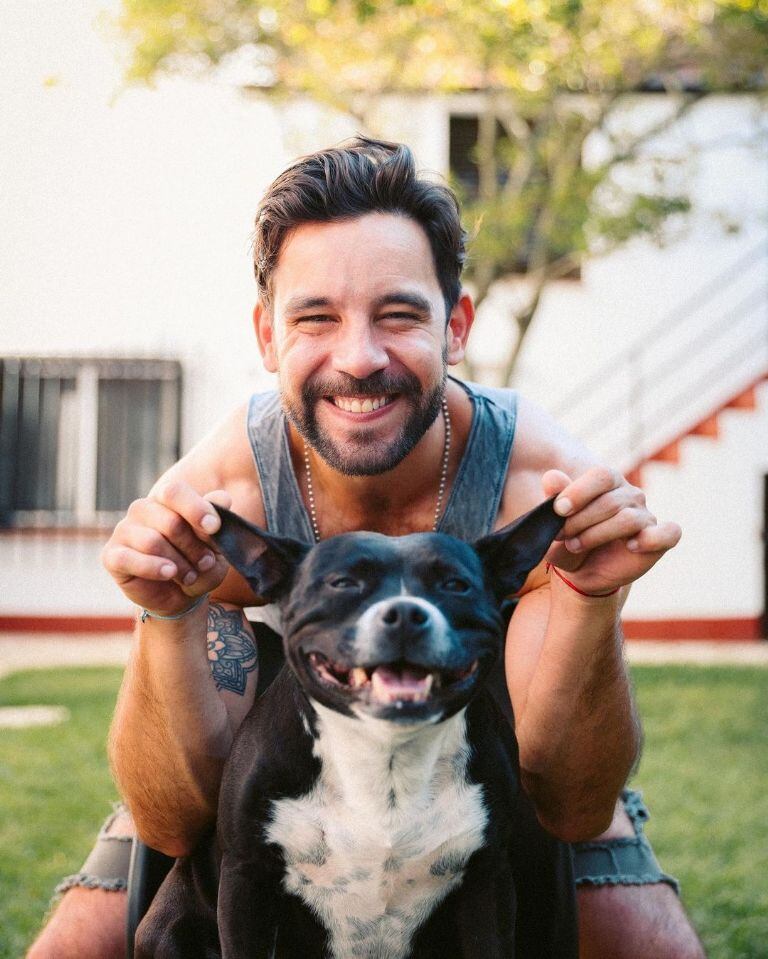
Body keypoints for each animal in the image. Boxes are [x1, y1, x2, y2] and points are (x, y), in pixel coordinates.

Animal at [136, 502, 576, 959]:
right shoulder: (245, 882)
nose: (405, 613)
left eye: (456, 585)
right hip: (168, 928)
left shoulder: (487, 883)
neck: (385, 754)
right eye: (343, 583)